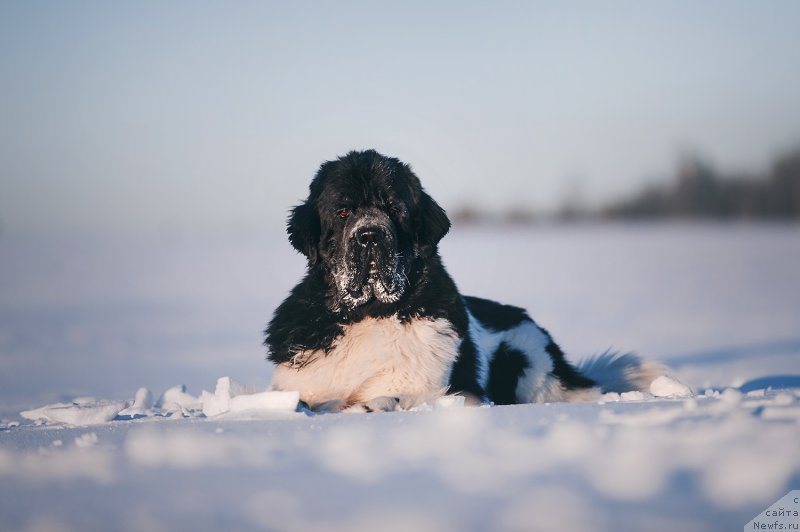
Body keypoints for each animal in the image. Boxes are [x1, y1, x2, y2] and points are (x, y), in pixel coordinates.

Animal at [264, 150, 664, 412]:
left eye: (393, 210)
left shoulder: (442, 388)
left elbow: (396, 396)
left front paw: (367, 407)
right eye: (343, 211)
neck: (368, 314)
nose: (369, 236)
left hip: (530, 364)